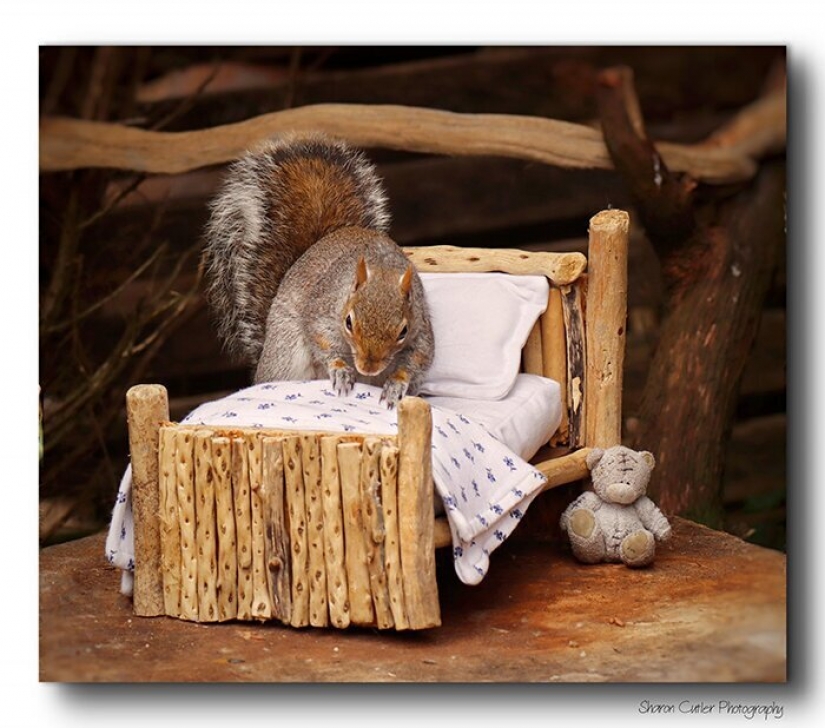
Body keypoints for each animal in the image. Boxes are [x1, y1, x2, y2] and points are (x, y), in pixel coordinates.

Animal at [201, 133, 434, 408]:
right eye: (348, 321)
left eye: (403, 332)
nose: (368, 368)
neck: (381, 268)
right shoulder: (322, 307)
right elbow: (320, 336)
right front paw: (340, 369)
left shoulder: (421, 327)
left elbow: (419, 358)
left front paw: (397, 384)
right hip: (287, 352)